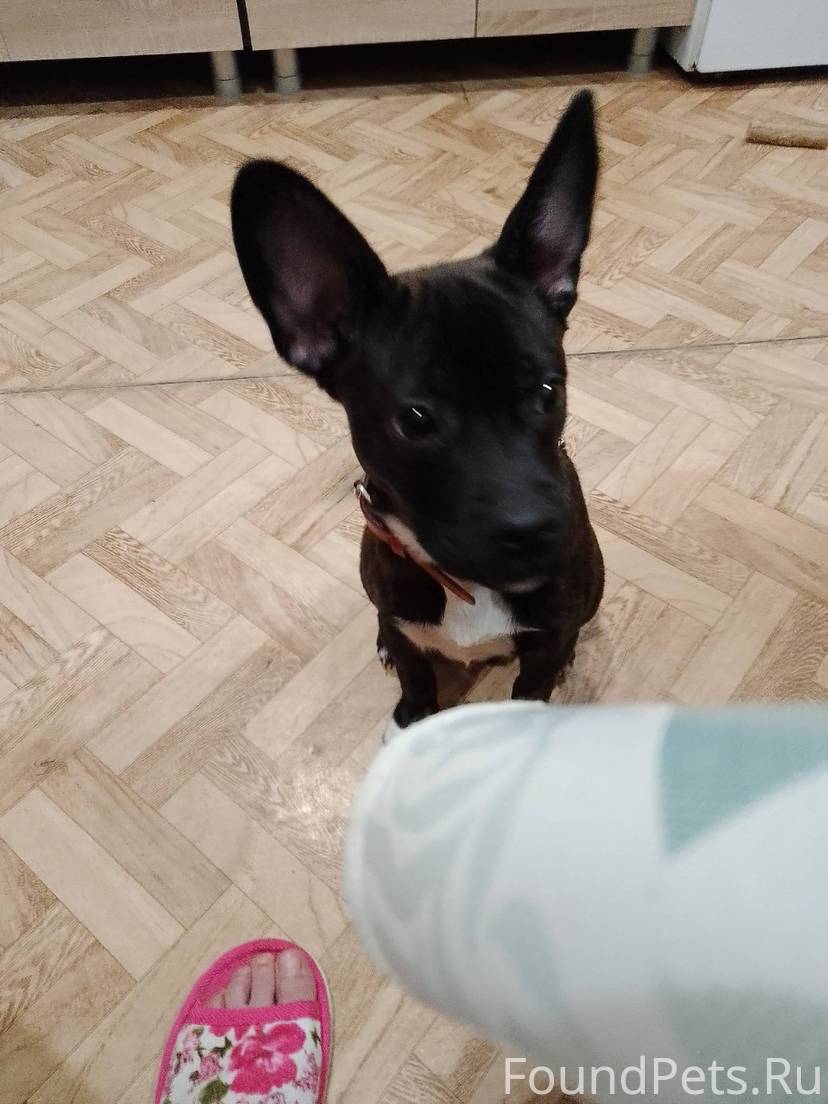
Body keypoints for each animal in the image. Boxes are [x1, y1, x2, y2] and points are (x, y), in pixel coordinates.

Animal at [231, 89, 604, 740]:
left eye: (548, 392)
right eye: (416, 421)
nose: (534, 528)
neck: (466, 586)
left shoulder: (548, 635)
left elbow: (532, 683)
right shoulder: (404, 624)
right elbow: (415, 675)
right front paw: (411, 720)